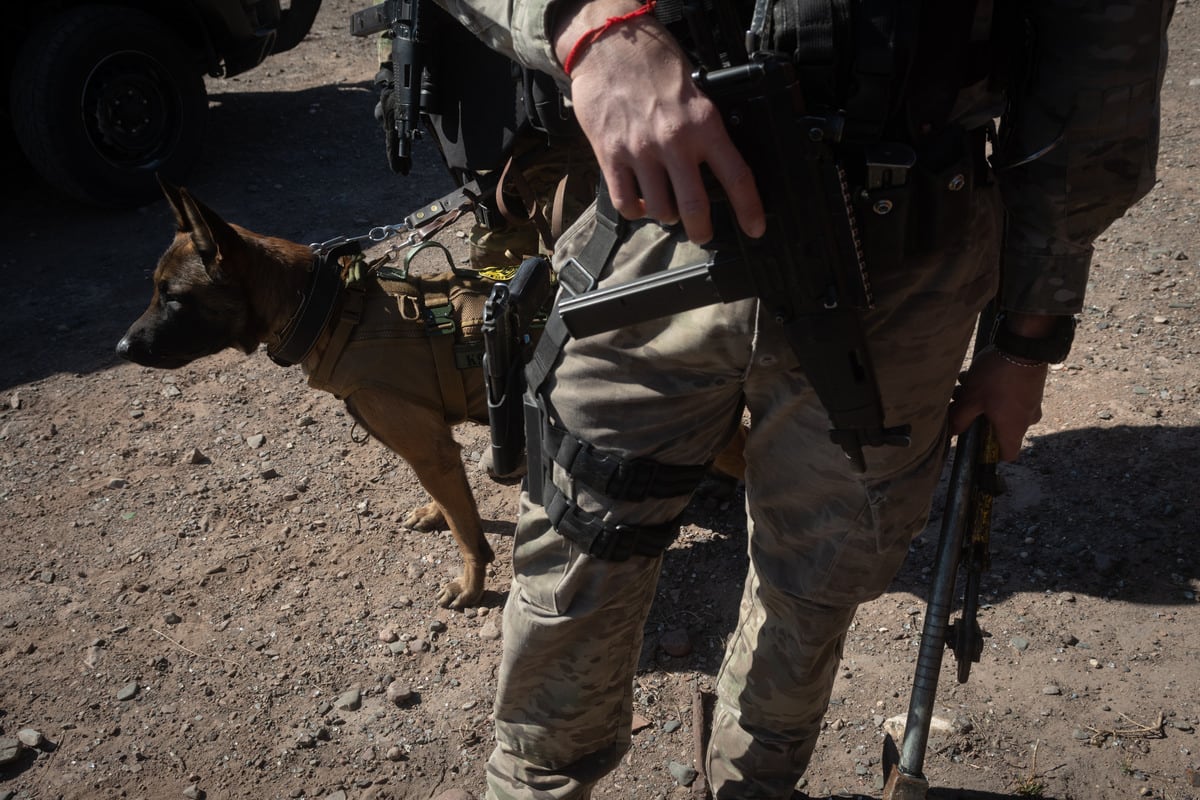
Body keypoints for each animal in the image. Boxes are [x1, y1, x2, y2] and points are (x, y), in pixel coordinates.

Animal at [117, 181, 744, 606]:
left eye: (173, 296)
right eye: (155, 289)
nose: (122, 347)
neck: (331, 308)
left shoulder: (430, 448)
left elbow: (471, 535)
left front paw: (471, 583)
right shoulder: (430, 452)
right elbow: (451, 505)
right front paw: (435, 512)